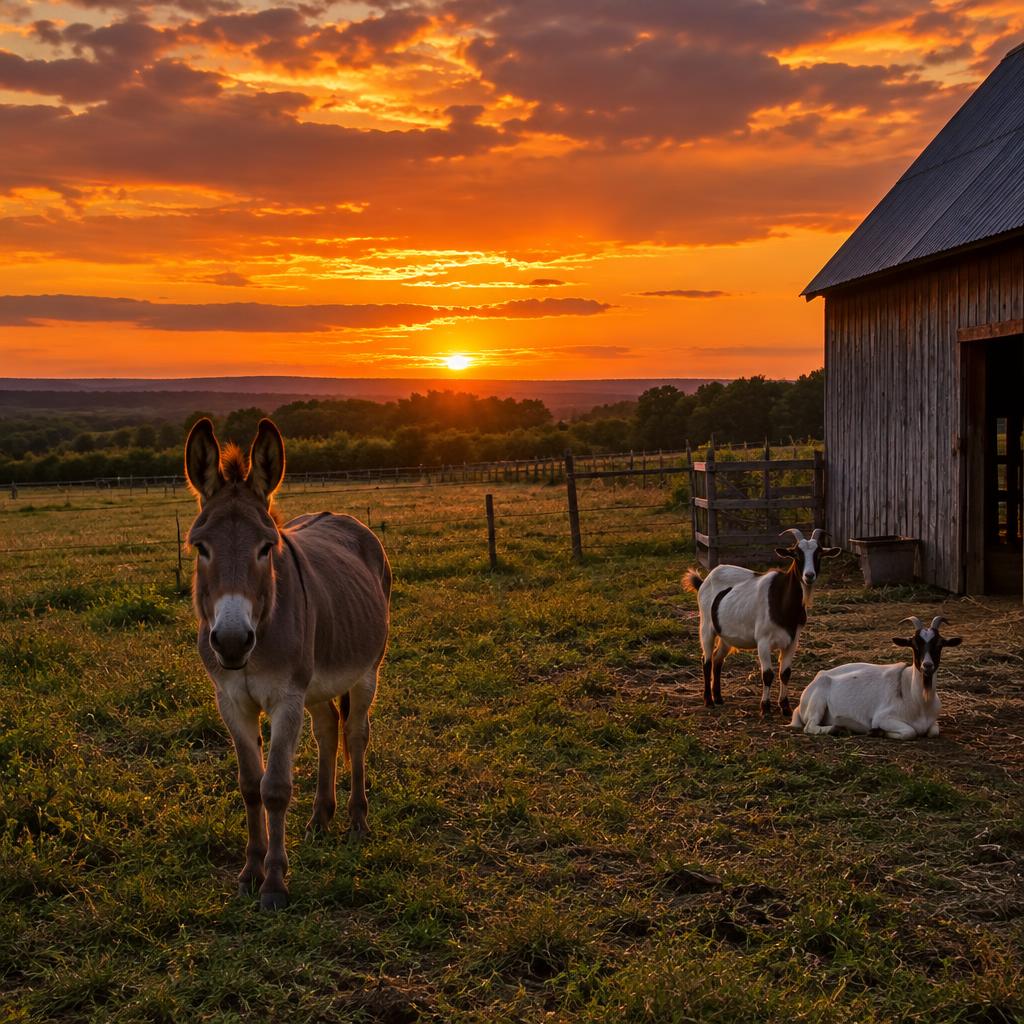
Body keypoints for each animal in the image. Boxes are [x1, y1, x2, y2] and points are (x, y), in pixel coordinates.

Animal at [682, 528, 841, 716]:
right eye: (796, 554)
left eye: (819, 554)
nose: (809, 575)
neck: (782, 601)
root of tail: (704, 581)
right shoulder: (763, 642)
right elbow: (768, 674)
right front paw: (765, 708)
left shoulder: (792, 641)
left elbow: (785, 673)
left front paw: (785, 707)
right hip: (706, 627)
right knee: (706, 660)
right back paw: (709, 701)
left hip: (725, 636)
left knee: (717, 659)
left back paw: (719, 698)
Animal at [790, 615, 962, 739]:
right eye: (914, 644)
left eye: (939, 645)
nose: (927, 665)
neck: (919, 701)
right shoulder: (882, 718)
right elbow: (910, 732)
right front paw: (877, 732)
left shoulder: (933, 722)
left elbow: (933, 732)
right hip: (817, 704)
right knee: (810, 726)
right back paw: (838, 728)